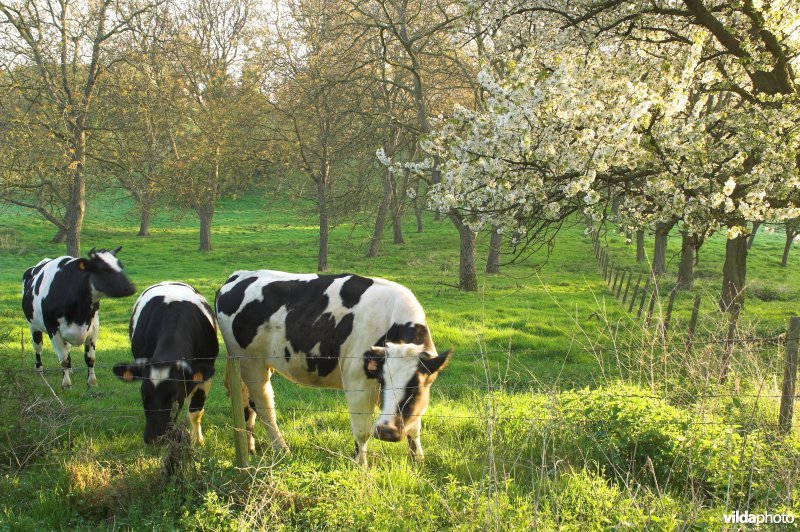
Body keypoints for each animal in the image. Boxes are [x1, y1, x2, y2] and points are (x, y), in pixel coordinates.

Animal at [20, 247, 136, 388]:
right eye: (104, 269)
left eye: (120, 266)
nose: (130, 287)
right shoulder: (53, 329)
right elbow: (63, 360)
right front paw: (66, 384)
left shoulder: (93, 327)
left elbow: (90, 358)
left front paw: (92, 382)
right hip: (33, 325)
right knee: (38, 348)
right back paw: (39, 371)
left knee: (67, 350)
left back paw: (70, 370)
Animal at [113, 282, 219, 444]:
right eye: (144, 395)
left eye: (173, 397)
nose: (154, 438)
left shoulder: (205, 374)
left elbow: (196, 413)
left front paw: (197, 441)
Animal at [216, 270, 450, 466]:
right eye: (383, 382)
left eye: (415, 388)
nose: (386, 432)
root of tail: (238, 275)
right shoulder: (357, 383)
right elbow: (362, 431)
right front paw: (361, 467)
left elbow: (415, 426)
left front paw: (417, 461)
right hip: (250, 362)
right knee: (264, 407)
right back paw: (282, 450)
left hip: (252, 364)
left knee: (247, 403)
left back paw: (250, 448)